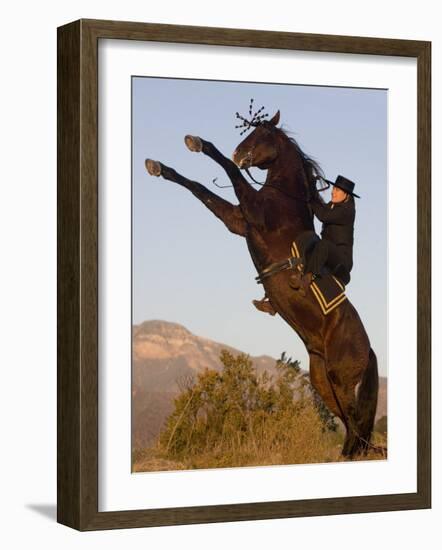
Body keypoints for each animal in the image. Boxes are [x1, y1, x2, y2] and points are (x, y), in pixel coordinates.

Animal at [146, 110, 380, 460]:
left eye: (263, 135)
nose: (239, 153)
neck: (284, 198)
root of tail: (368, 349)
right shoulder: (238, 220)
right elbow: (200, 189)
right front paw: (159, 167)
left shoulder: (252, 212)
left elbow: (227, 173)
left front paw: (199, 143)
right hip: (323, 381)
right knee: (350, 423)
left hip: (340, 377)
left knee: (355, 422)